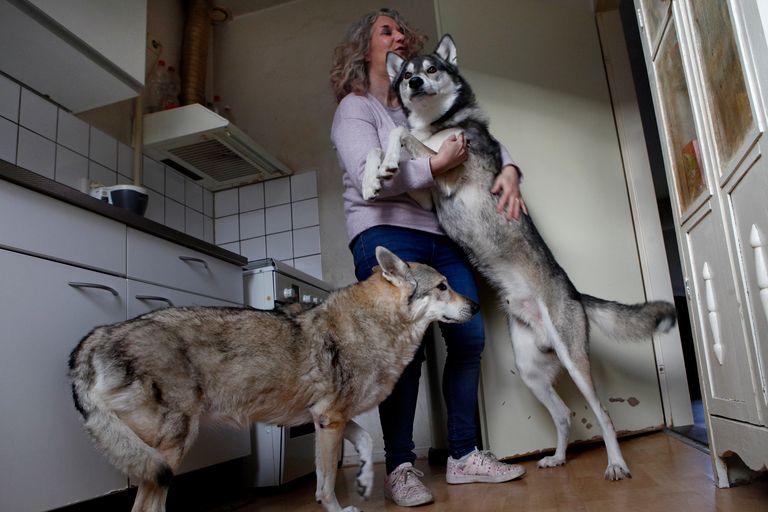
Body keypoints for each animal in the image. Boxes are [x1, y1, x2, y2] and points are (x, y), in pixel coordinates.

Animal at [70, 246, 480, 510]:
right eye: (443, 286)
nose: (475, 305)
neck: (376, 326)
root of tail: (99, 335)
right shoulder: (329, 420)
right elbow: (325, 484)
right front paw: (340, 507)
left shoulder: (326, 418)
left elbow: (363, 443)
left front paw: (364, 481)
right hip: (170, 452)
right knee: (144, 507)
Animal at [364, 34, 676, 482]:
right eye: (406, 74)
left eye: (432, 68)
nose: (417, 83)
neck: (439, 126)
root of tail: (575, 294)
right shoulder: (427, 192)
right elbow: (387, 142)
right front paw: (373, 176)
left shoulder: (448, 174)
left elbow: (401, 133)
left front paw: (387, 161)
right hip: (530, 369)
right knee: (564, 415)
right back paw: (558, 457)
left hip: (573, 359)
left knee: (603, 414)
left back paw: (616, 465)